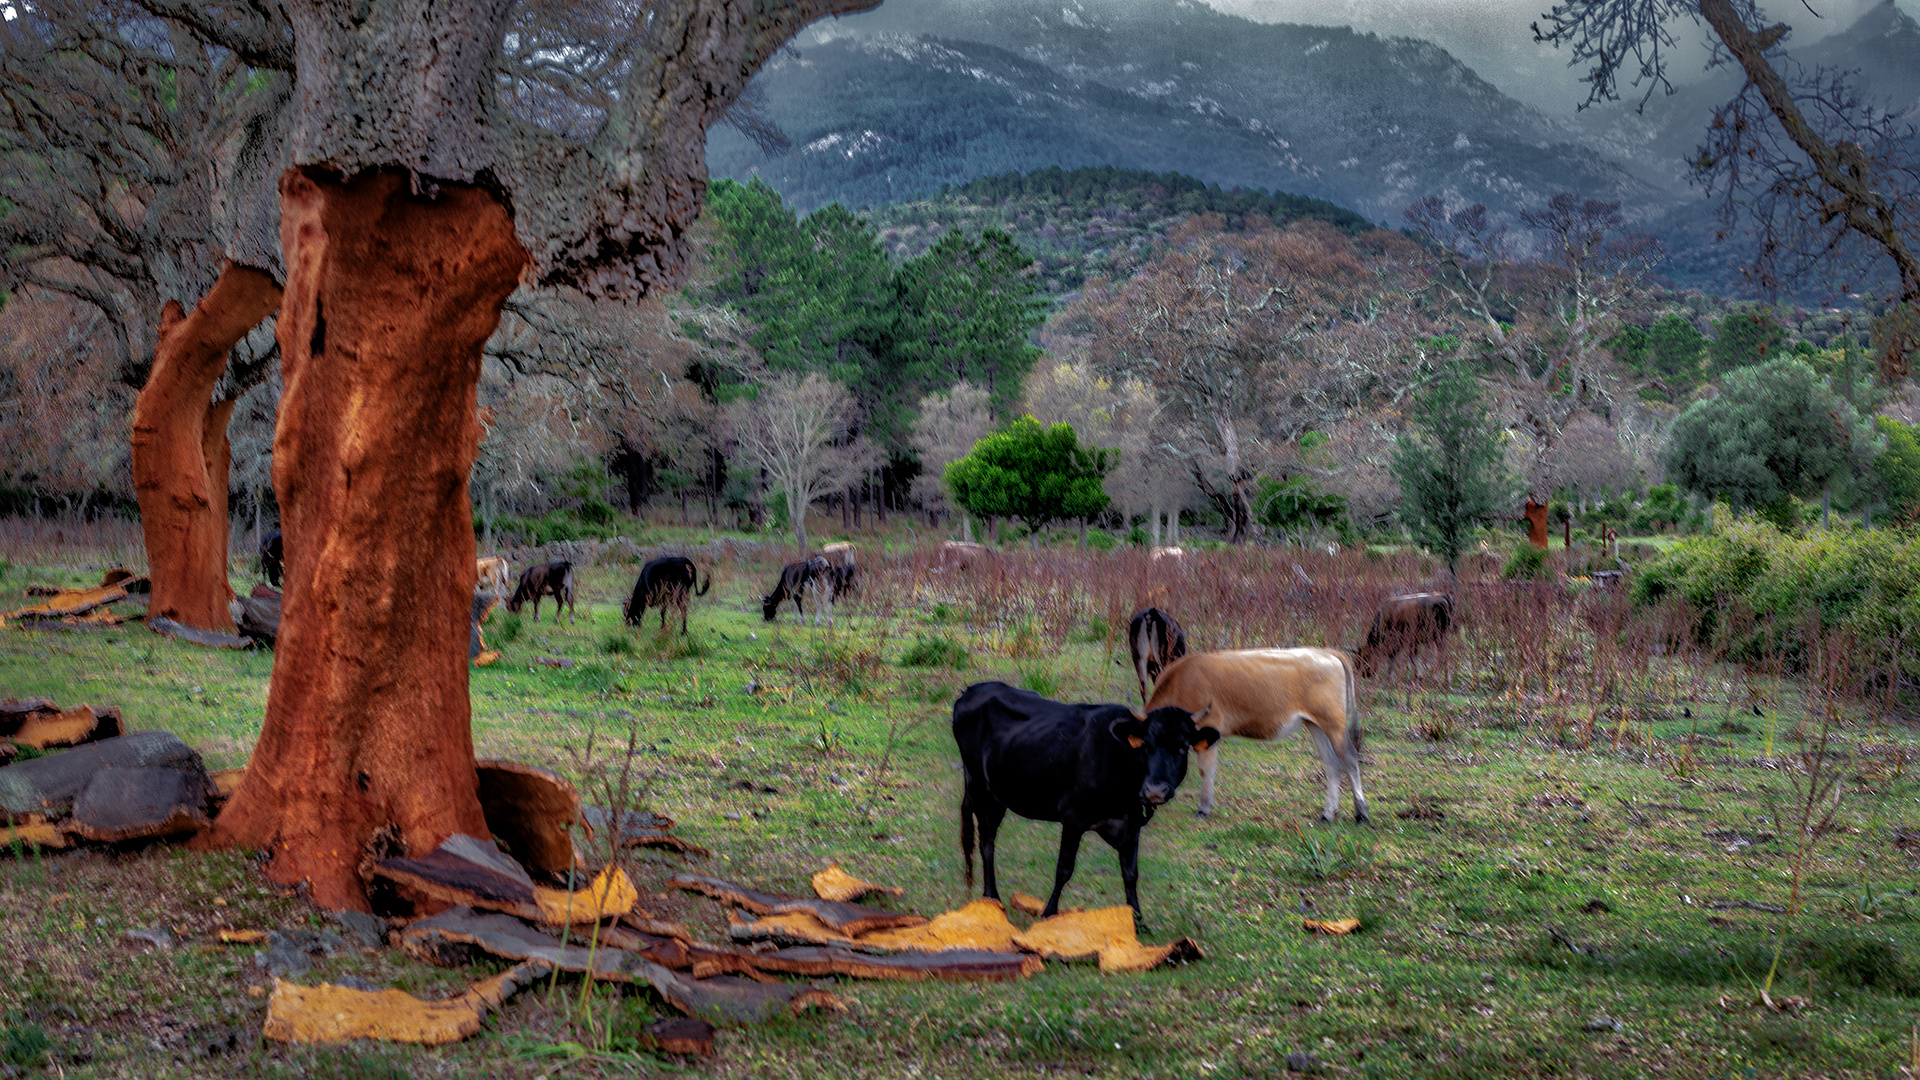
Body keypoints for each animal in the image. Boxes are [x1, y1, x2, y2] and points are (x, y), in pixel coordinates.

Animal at [956, 676, 1221, 910]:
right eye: (1146, 744)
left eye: (1182, 747)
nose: (1155, 790)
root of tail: (972, 690)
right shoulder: (1073, 817)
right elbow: (1064, 869)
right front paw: (1048, 913)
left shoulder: (1131, 824)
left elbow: (1130, 874)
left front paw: (1138, 920)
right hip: (981, 787)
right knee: (986, 839)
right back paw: (992, 896)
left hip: (997, 793)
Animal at [1136, 645, 1367, 814]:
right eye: (1146, 746)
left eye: (1180, 748)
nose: (1154, 793)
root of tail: (1325, 652)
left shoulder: (1209, 729)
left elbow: (1206, 770)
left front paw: (1203, 809)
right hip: (1315, 724)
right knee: (1332, 763)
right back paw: (1328, 814)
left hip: (1333, 723)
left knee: (1349, 758)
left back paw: (1361, 813)